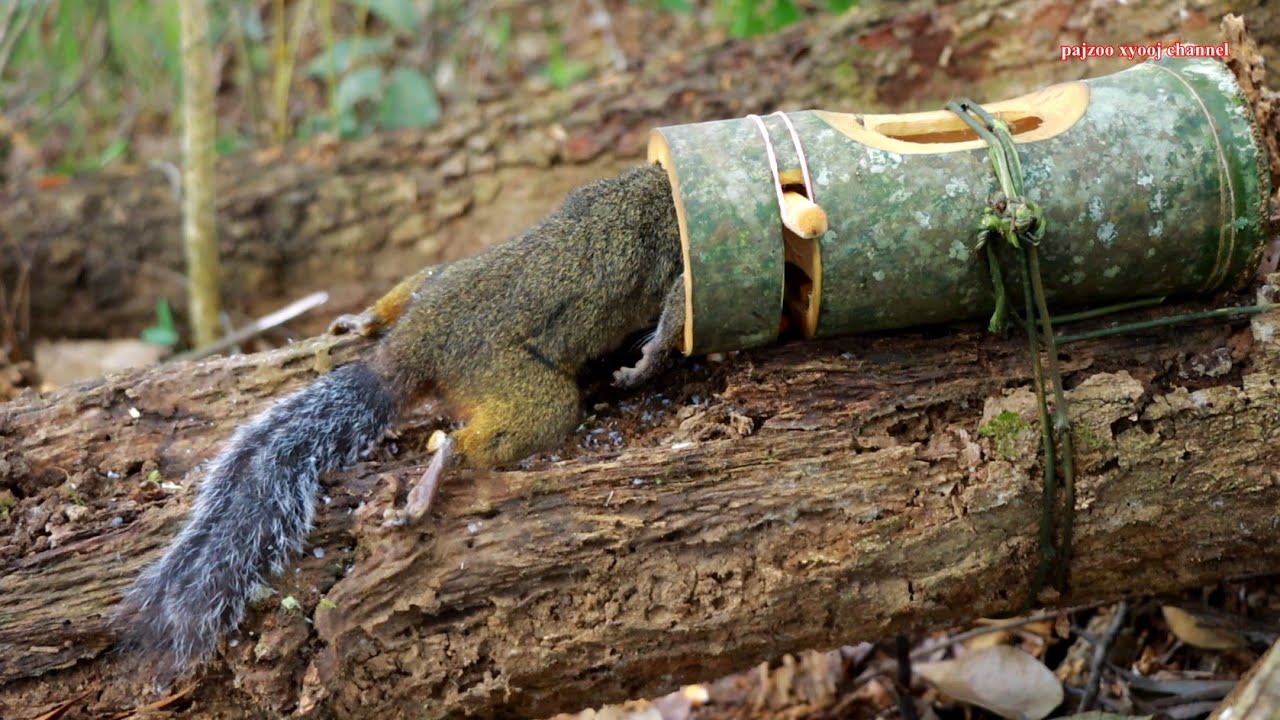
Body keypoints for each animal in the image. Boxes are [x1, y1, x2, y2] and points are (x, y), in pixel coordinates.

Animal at [117, 163, 686, 679]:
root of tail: (410, 352)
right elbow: (675, 307)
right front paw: (649, 360)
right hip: (516, 382)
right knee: (491, 431)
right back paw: (428, 485)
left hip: (438, 281)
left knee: (416, 286)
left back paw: (363, 321)